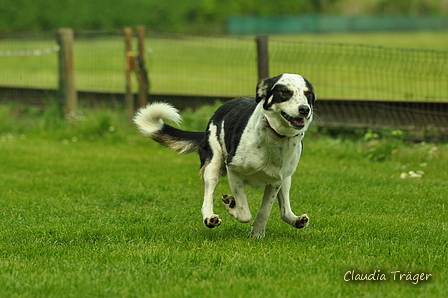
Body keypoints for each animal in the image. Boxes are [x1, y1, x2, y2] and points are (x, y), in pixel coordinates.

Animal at [133, 73, 316, 239]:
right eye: (285, 92)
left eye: (308, 94)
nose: (304, 109)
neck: (275, 135)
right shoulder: (233, 171)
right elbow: (244, 213)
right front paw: (232, 206)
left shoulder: (276, 181)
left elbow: (264, 211)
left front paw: (257, 233)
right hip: (213, 164)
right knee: (208, 195)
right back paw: (210, 217)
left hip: (287, 178)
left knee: (284, 210)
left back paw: (296, 220)